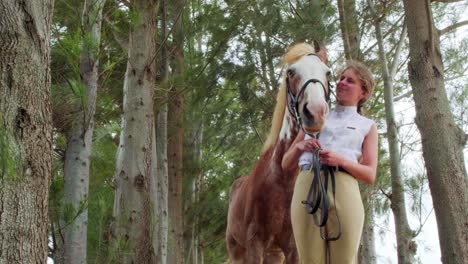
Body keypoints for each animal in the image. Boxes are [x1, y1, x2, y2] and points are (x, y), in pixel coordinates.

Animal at [225, 42, 330, 262]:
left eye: (328, 73)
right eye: (291, 72)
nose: (316, 112)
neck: (282, 178)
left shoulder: (292, 248)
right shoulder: (254, 243)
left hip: (273, 253)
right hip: (237, 251)